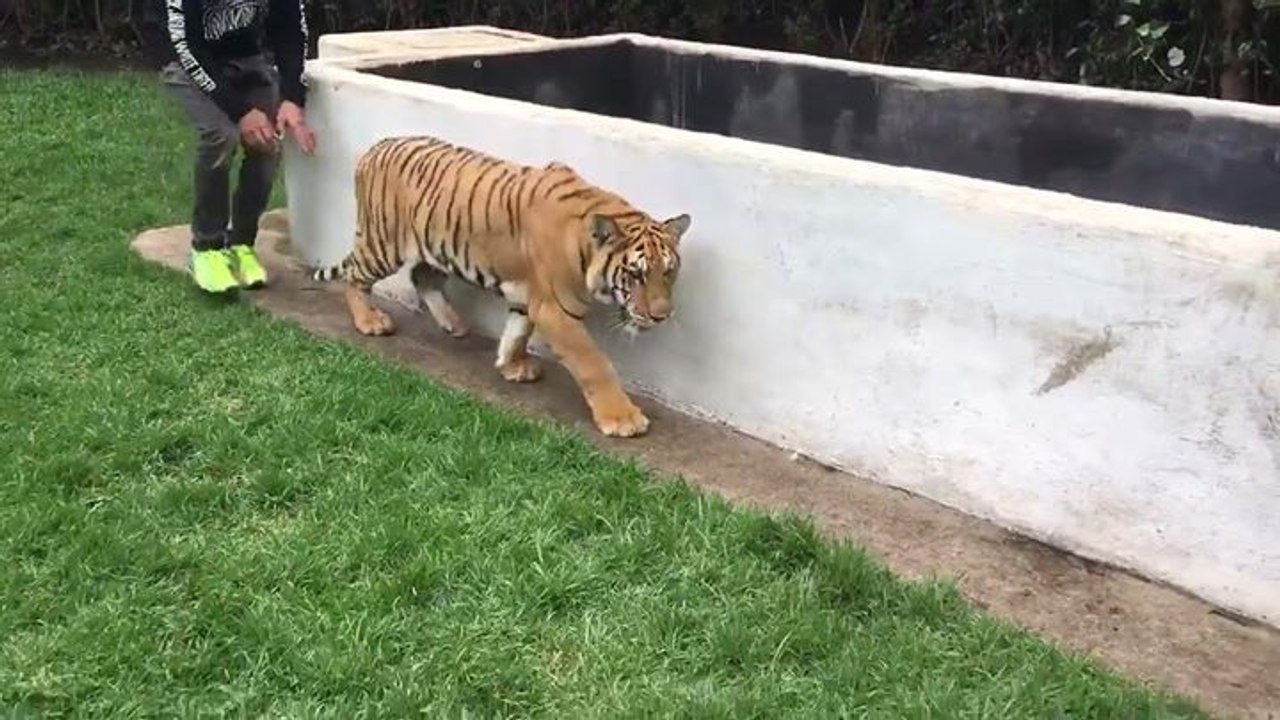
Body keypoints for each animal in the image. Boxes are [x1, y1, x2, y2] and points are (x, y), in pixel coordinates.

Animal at [308, 135, 692, 438]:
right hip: (383, 244)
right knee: (355, 276)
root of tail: (376, 147)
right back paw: (369, 322)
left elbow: (517, 331)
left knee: (422, 277)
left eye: (669, 272)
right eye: (636, 275)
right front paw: (623, 419)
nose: (661, 316)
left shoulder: (530, 298)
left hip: (434, 247)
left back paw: (454, 324)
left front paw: (511, 365)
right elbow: (593, 363)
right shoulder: (557, 309)